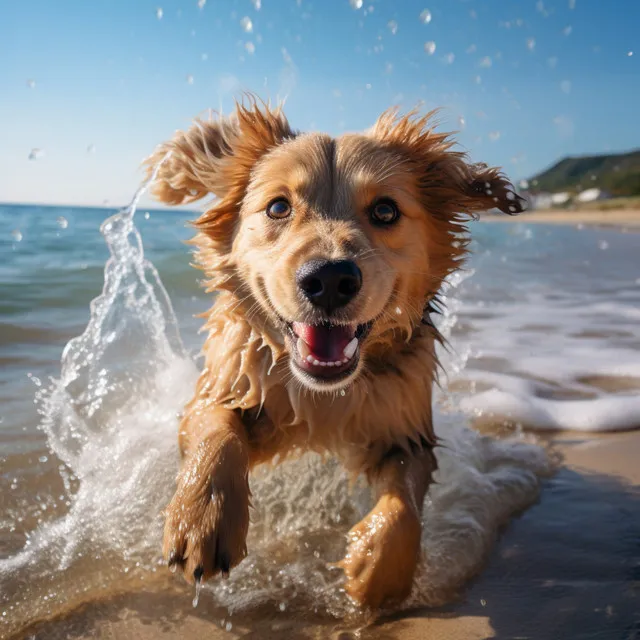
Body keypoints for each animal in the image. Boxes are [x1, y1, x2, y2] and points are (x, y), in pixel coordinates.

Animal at [146, 97, 524, 608]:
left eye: (385, 210)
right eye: (278, 206)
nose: (328, 279)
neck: (324, 394)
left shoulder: (406, 426)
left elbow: (406, 498)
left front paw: (378, 572)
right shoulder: (227, 381)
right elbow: (216, 429)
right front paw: (204, 516)